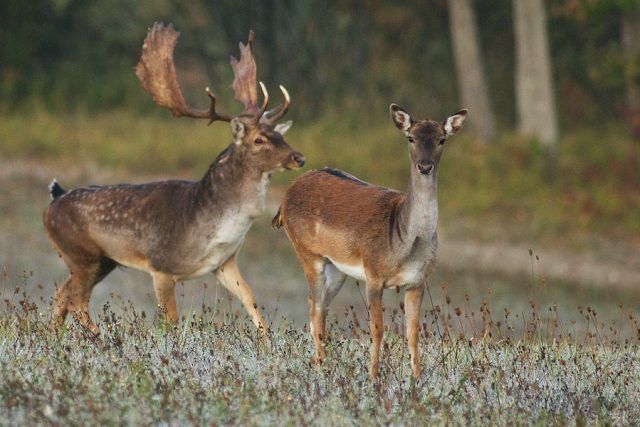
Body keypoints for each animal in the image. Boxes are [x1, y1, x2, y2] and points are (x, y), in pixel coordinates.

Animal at [43, 23, 304, 336]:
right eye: (259, 139)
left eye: (281, 135)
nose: (298, 158)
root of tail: (55, 196)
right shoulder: (162, 267)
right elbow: (171, 322)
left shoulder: (224, 262)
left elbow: (252, 301)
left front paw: (265, 341)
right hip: (81, 255)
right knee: (77, 301)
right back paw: (101, 339)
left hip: (100, 261)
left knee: (62, 295)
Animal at [272, 105, 468, 380]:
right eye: (411, 138)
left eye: (442, 139)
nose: (425, 166)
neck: (404, 244)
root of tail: (285, 197)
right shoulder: (373, 275)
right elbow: (378, 328)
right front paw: (374, 374)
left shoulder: (418, 281)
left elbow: (413, 333)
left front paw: (417, 377)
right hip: (308, 253)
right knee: (315, 306)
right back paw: (321, 365)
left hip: (337, 269)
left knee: (319, 305)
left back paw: (320, 360)